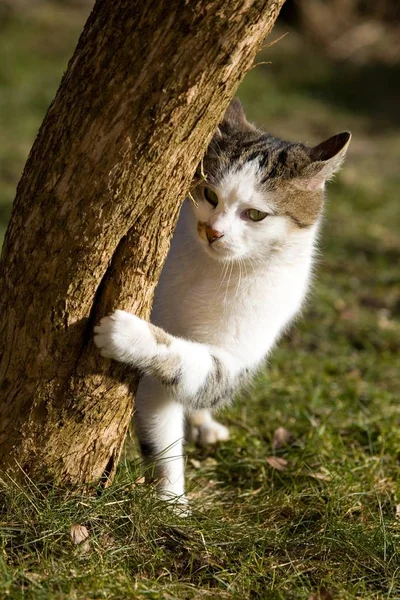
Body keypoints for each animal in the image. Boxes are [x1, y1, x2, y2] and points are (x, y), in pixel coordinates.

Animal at [94, 99, 350, 506]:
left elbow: (195, 366)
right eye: (210, 195)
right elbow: (163, 433)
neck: (214, 271)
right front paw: (172, 500)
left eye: (255, 214)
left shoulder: (238, 354)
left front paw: (128, 335)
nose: (213, 232)